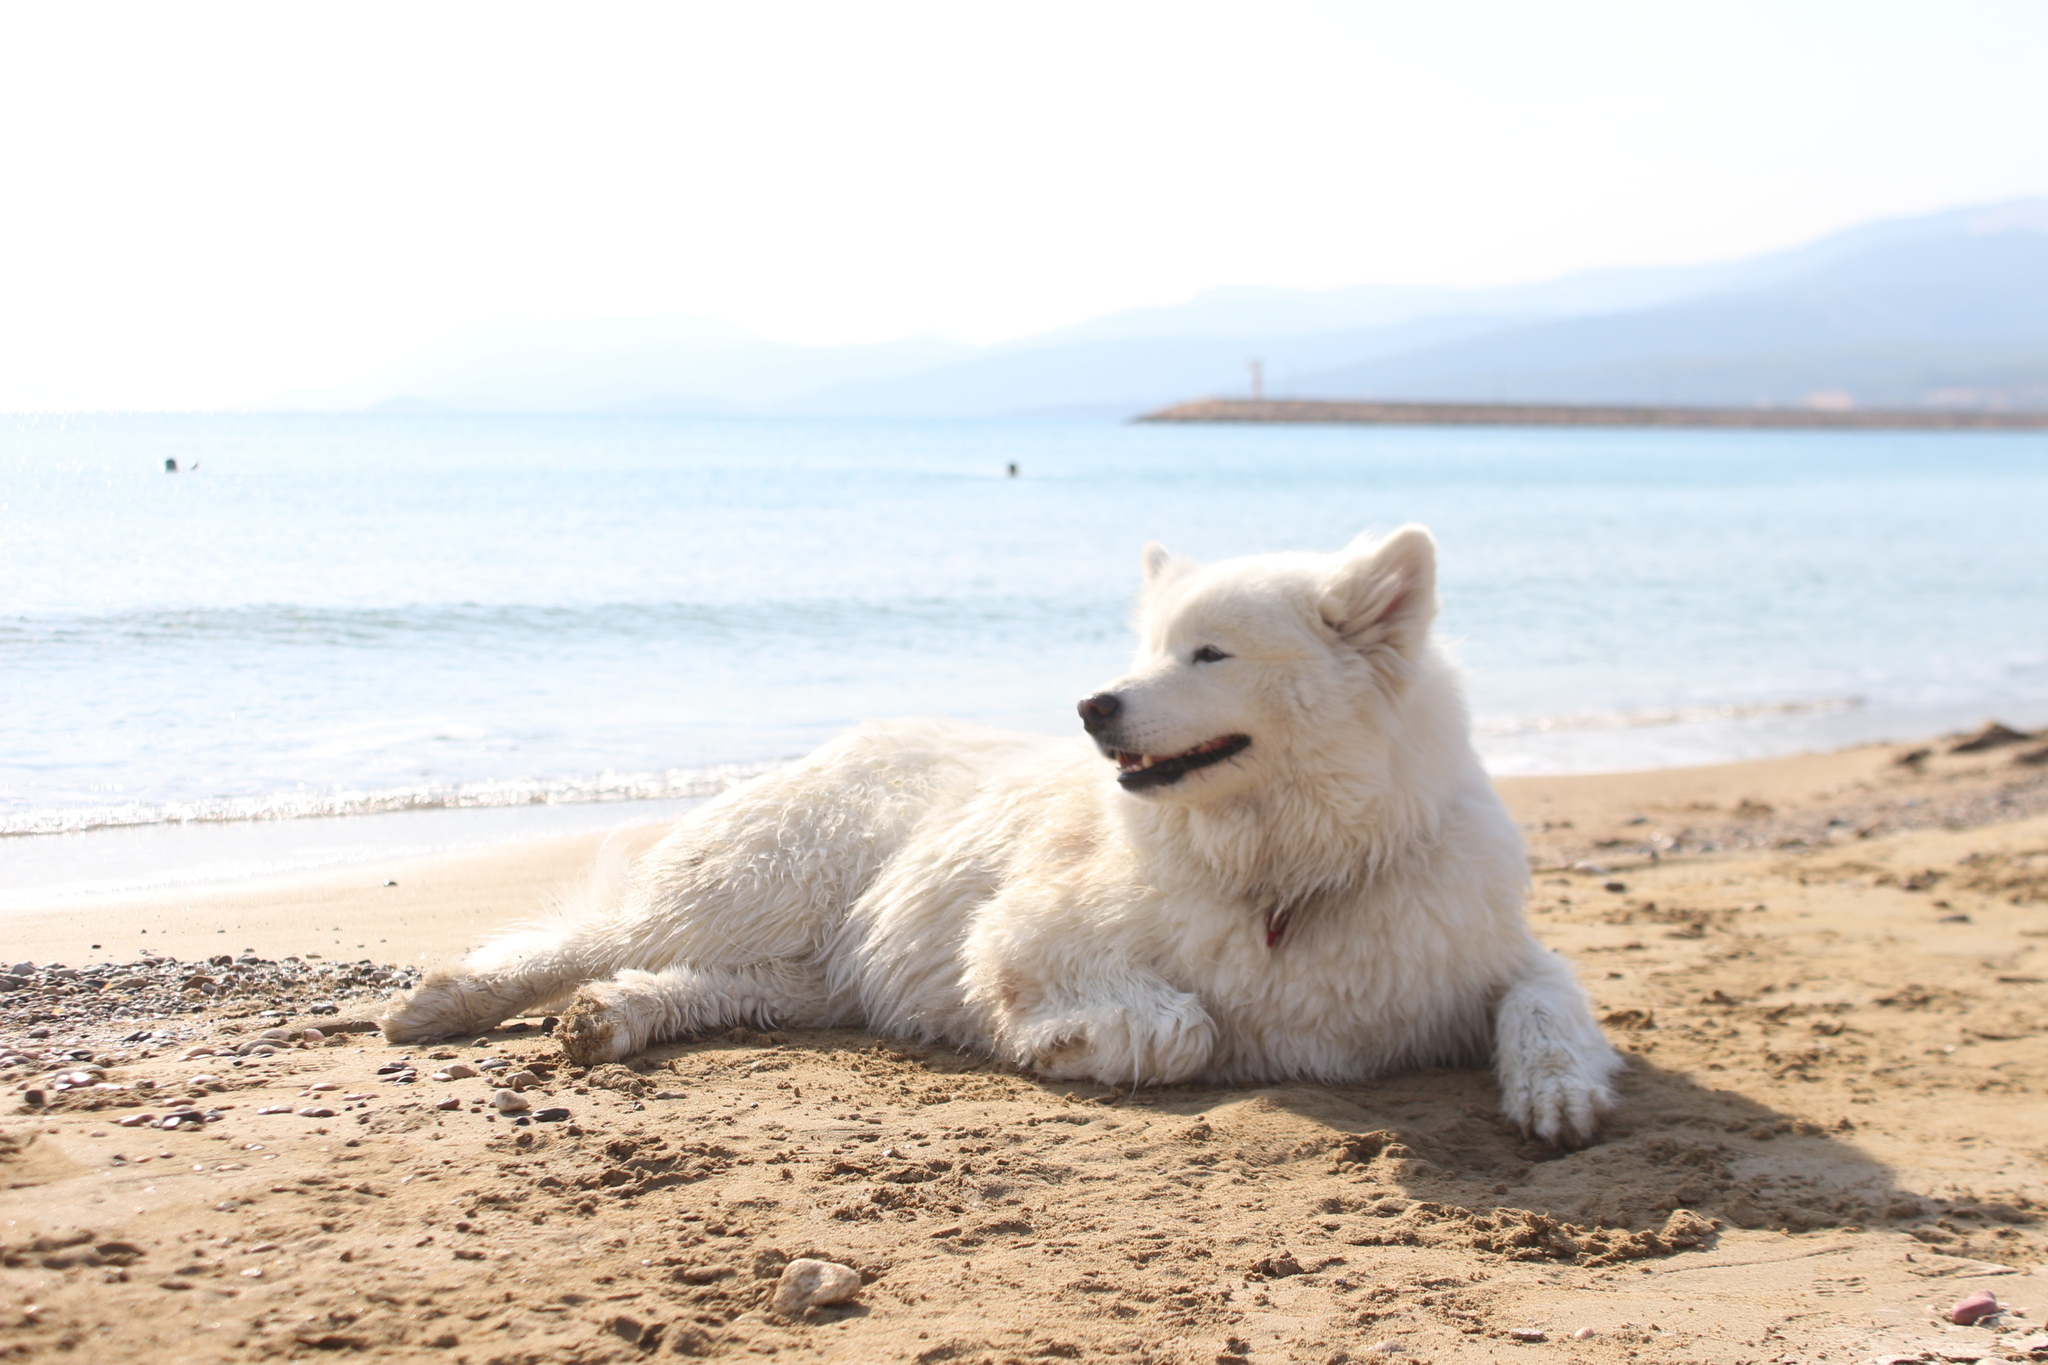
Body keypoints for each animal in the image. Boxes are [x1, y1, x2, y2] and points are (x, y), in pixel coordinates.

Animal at [385, 527, 1622, 1146]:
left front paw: (1558, 1093)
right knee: (586, 939)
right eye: (1143, 647)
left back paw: (616, 1018)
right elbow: (1177, 1026)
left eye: (1207, 654)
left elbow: (1547, 1001)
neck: (1287, 869)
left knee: (701, 983)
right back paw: (448, 1003)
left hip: (810, 971)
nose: (1091, 707)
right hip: (763, 891)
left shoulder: (1488, 957)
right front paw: (1062, 1040)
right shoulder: (1018, 932)